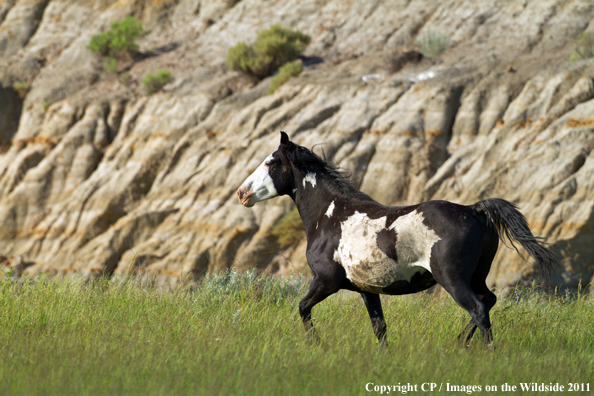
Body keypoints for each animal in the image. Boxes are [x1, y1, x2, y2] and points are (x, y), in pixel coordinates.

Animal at [235, 131, 556, 346]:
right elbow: (380, 327)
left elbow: (302, 307)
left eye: (270, 162)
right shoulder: (367, 289)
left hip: (452, 278)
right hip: (477, 275)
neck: (330, 216)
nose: (242, 193)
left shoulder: (326, 280)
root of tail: (474, 211)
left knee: (478, 308)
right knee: (488, 301)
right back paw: (458, 344)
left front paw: (316, 344)